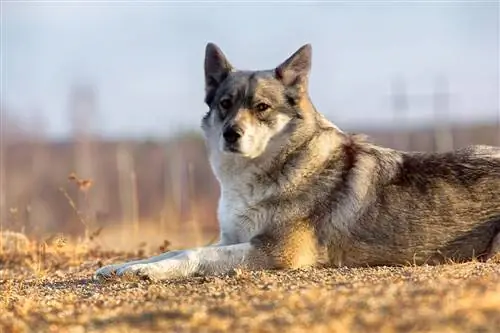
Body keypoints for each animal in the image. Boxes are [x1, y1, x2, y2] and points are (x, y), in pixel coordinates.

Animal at [94, 42, 500, 278]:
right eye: (225, 104)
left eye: (261, 107)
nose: (230, 134)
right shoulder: (230, 237)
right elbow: (177, 247)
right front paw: (121, 266)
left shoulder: (276, 251)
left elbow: (192, 253)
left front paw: (149, 271)